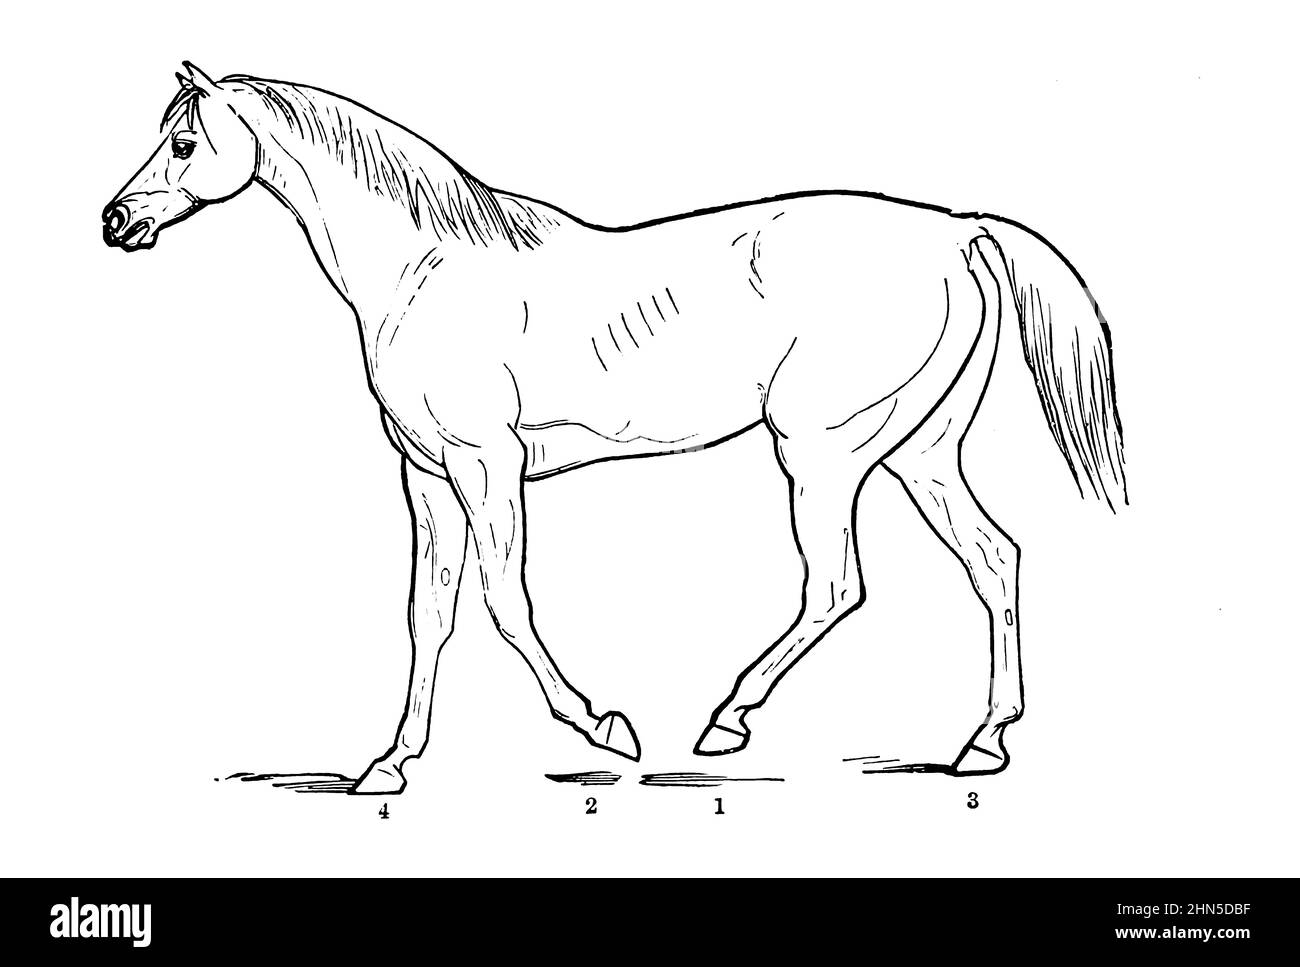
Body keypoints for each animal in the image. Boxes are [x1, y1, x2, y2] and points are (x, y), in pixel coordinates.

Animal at [103, 63, 1126, 794]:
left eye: (185, 140)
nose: (117, 221)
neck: (423, 269)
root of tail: (957, 231)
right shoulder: (426, 476)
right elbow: (428, 613)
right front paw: (385, 766)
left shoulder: (487, 467)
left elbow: (503, 602)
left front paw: (603, 724)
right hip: (919, 452)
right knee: (995, 560)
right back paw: (981, 744)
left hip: (825, 453)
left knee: (838, 584)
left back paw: (724, 721)